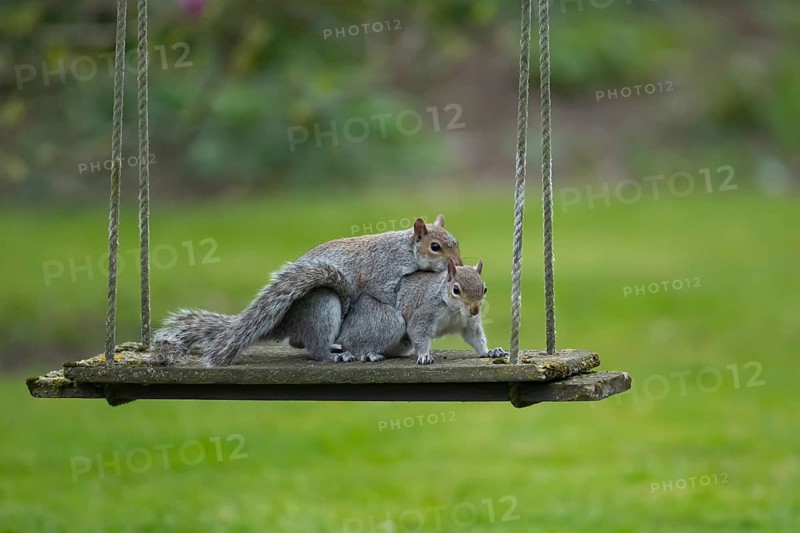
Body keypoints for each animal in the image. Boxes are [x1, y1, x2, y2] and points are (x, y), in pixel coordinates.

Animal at [152, 215, 462, 366]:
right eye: (435, 246)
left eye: (456, 242)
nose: (457, 263)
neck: (405, 250)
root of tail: (285, 322)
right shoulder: (381, 275)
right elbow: (387, 297)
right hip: (323, 305)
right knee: (315, 348)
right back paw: (335, 354)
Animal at [334, 258, 507, 364]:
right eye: (456, 289)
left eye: (484, 289)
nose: (475, 310)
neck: (454, 310)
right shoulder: (425, 312)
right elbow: (417, 330)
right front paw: (424, 356)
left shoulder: (469, 322)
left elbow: (475, 337)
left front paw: (491, 352)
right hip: (381, 322)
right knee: (354, 346)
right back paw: (367, 354)